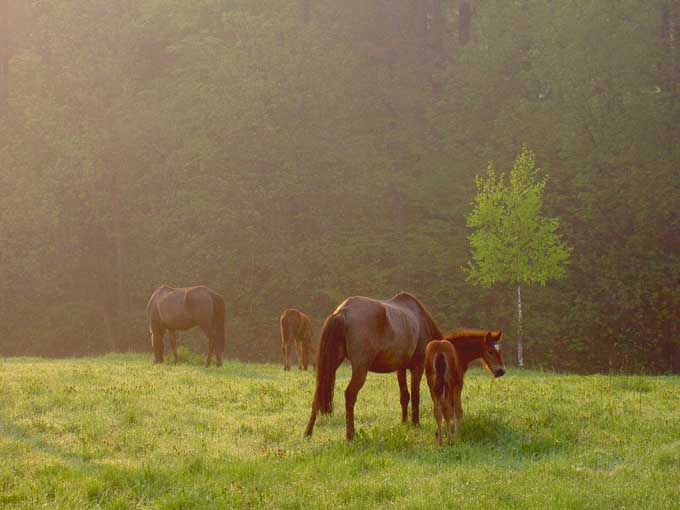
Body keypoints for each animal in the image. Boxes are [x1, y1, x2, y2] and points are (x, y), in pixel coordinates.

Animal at [304, 292, 444, 440]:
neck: (420, 320)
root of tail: (343, 311)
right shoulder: (417, 367)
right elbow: (416, 396)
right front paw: (416, 424)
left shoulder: (400, 368)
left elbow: (405, 396)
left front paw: (404, 423)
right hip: (360, 369)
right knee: (350, 394)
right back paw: (350, 434)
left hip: (331, 366)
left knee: (318, 395)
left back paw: (308, 433)